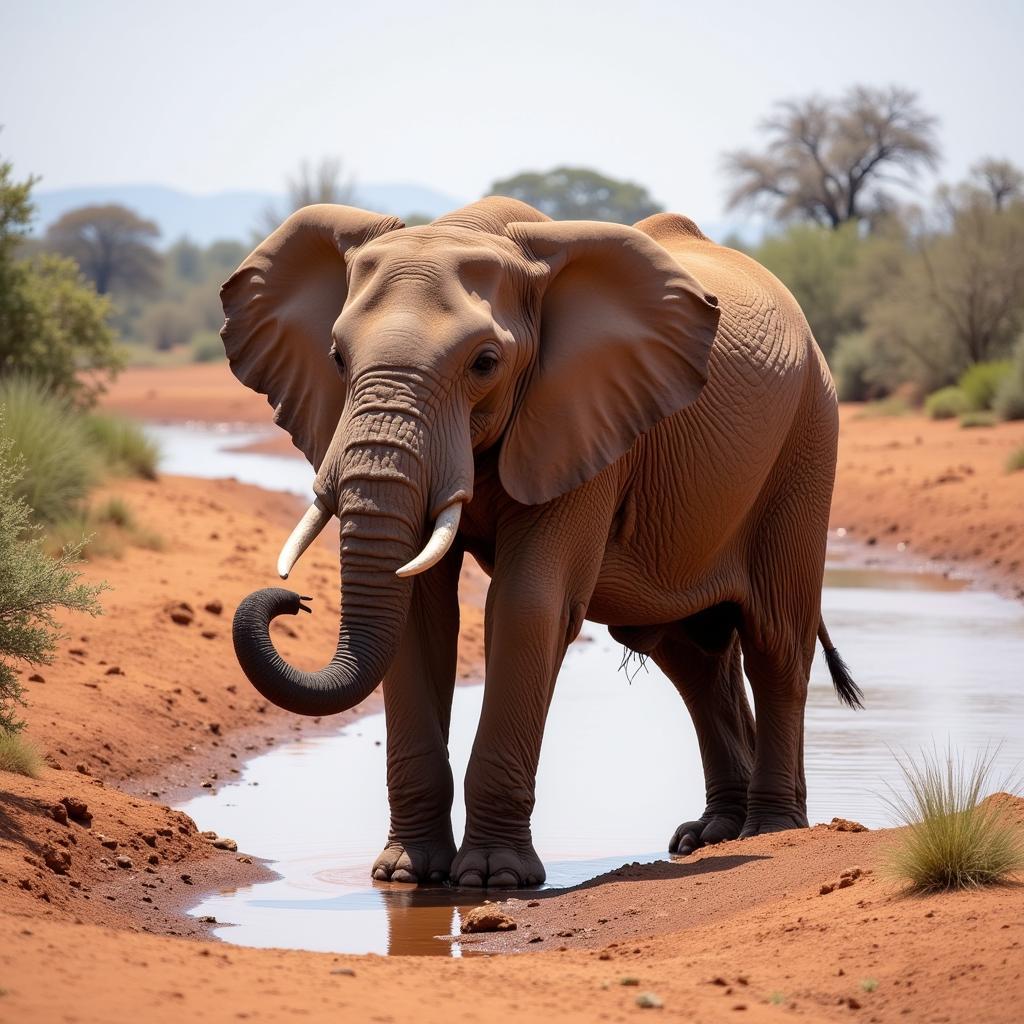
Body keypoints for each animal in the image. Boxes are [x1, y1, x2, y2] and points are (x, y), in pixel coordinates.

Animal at [220, 195, 860, 884]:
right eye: (337, 357)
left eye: (485, 363)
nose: (291, 601)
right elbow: (419, 610)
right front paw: (406, 875)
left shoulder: (586, 419)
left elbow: (529, 604)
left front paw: (490, 877)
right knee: (692, 657)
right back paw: (710, 835)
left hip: (807, 441)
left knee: (775, 643)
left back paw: (771, 829)